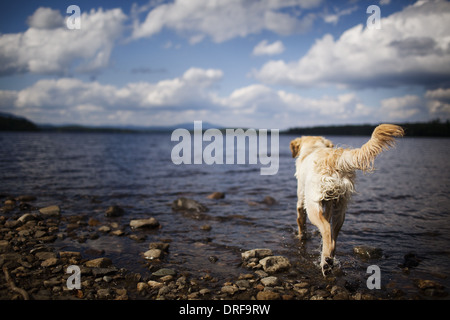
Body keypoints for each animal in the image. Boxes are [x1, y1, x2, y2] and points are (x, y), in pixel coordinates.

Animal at [292, 124, 404, 276]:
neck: (314, 147)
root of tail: (337, 158)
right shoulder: (329, 203)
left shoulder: (301, 197)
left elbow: (300, 220)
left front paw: (301, 236)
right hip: (340, 207)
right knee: (333, 237)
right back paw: (328, 260)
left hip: (312, 204)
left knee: (326, 229)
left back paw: (325, 263)